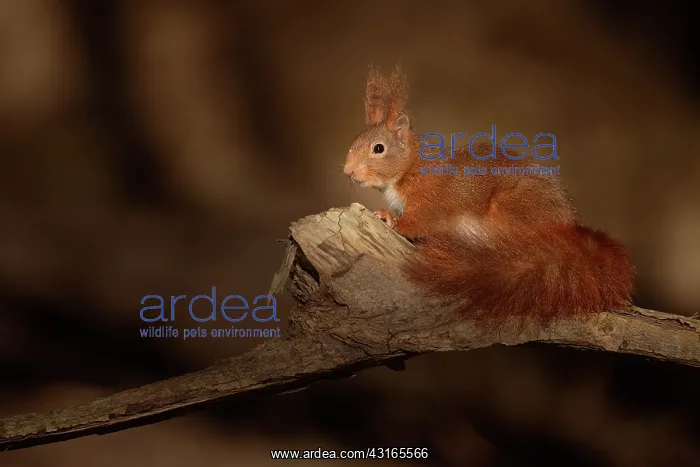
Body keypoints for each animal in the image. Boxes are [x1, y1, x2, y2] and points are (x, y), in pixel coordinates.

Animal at [343, 65, 635, 327]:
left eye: (378, 148)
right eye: (354, 141)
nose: (347, 171)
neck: (409, 169)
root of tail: (569, 229)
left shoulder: (431, 201)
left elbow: (418, 222)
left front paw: (390, 219)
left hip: (511, 210)